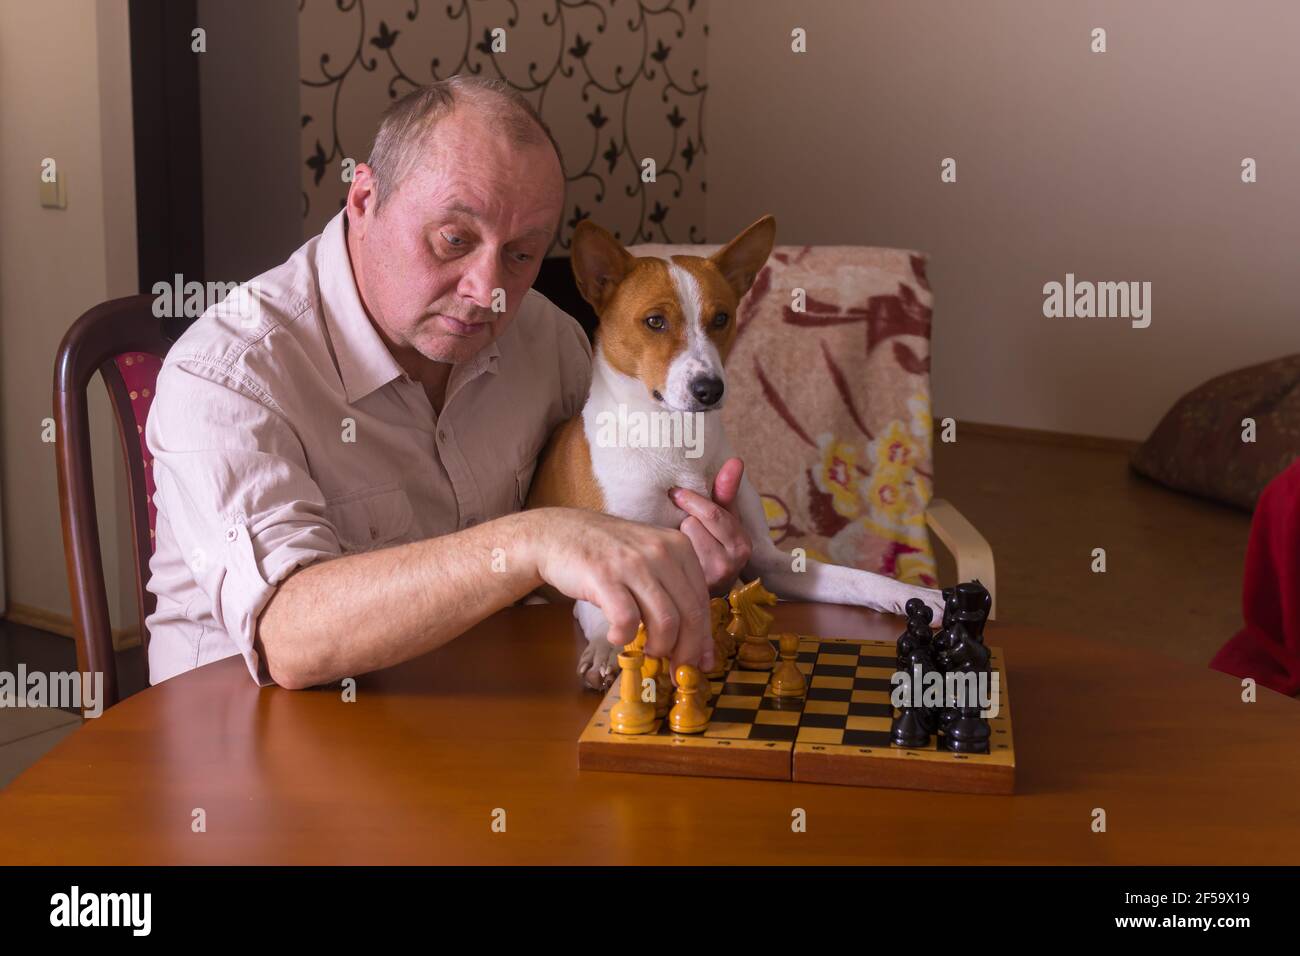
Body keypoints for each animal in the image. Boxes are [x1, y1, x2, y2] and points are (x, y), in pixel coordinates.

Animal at [527, 214, 946, 686]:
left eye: (722, 318)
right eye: (654, 321)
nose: (709, 389)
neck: (675, 441)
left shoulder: (765, 562)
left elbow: (856, 578)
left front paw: (912, 594)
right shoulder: (609, 556)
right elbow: (604, 607)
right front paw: (606, 647)